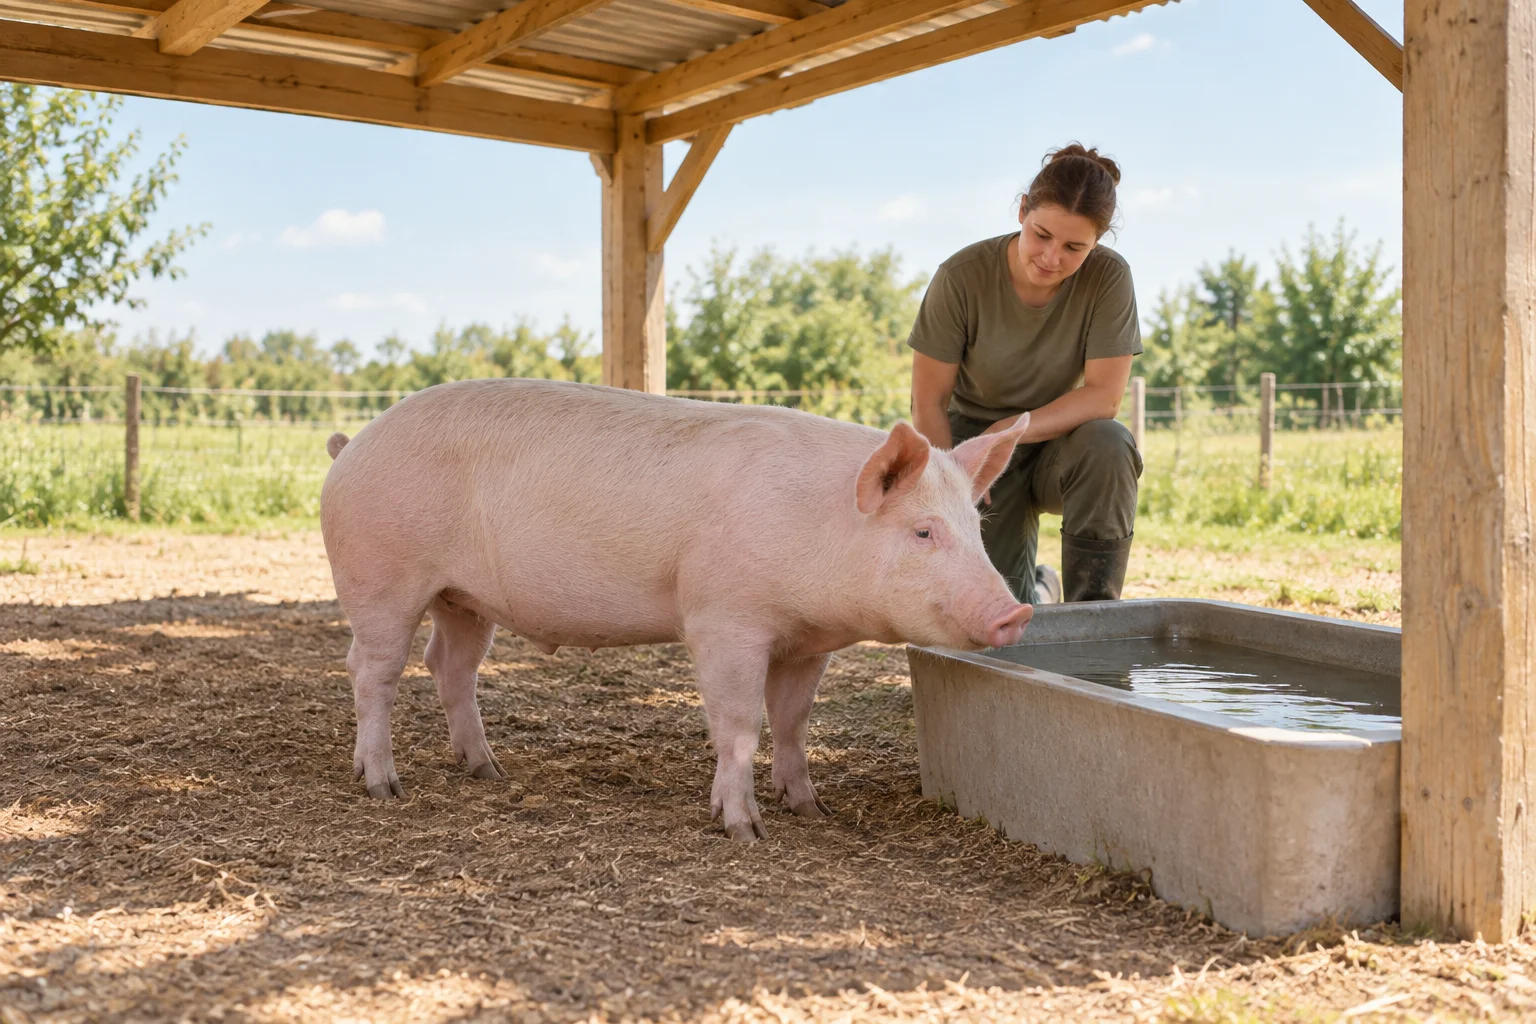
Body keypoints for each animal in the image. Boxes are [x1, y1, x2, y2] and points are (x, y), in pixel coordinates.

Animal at [320, 378, 1033, 842]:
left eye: (975, 525)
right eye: (922, 532)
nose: (1015, 615)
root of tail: (351, 445)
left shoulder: (808, 643)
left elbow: (794, 720)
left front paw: (810, 810)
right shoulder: (724, 621)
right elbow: (740, 723)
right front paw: (744, 831)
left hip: (464, 599)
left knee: (450, 665)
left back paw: (488, 771)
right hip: (381, 575)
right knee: (372, 668)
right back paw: (384, 786)